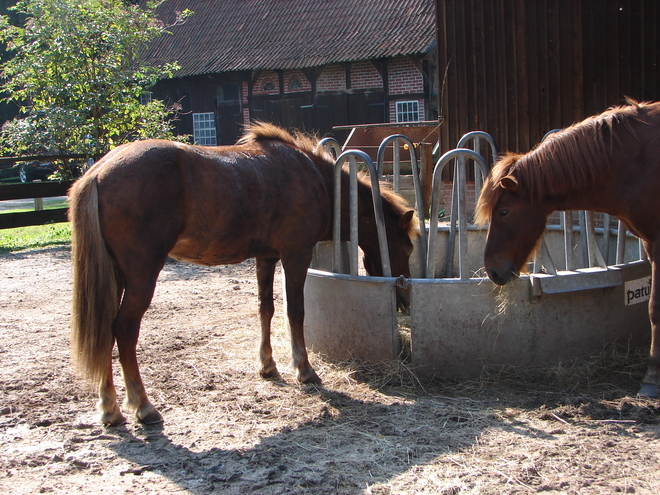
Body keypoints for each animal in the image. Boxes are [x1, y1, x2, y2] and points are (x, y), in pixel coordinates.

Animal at [68, 122, 418, 424]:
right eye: (407, 248)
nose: (404, 300)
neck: (315, 179)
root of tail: (97, 173)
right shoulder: (296, 255)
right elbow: (295, 312)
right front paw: (304, 370)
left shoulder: (266, 257)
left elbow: (266, 309)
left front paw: (268, 366)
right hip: (141, 275)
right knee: (123, 330)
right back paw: (142, 406)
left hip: (115, 277)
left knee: (104, 331)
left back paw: (110, 409)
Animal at [474, 101, 660, 400]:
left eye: (503, 211)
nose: (492, 270)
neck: (634, 160)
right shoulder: (649, 243)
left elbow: (654, 308)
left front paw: (652, 377)